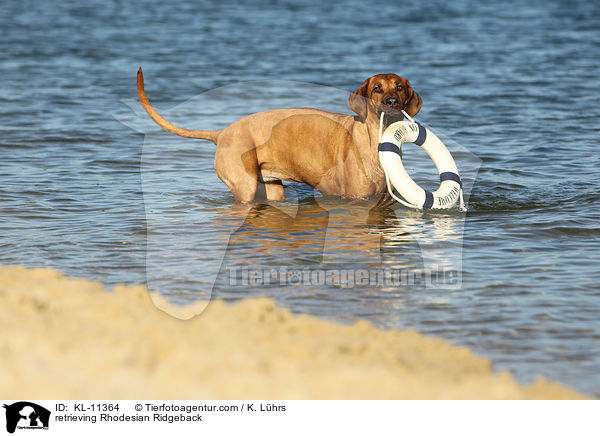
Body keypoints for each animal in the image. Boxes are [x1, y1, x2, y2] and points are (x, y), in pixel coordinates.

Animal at [136, 69, 422, 203]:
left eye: (399, 87)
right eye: (377, 89)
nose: (392, 102)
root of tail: (223, 132)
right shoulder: (355, 199)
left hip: (272, 188)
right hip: (245, 187)